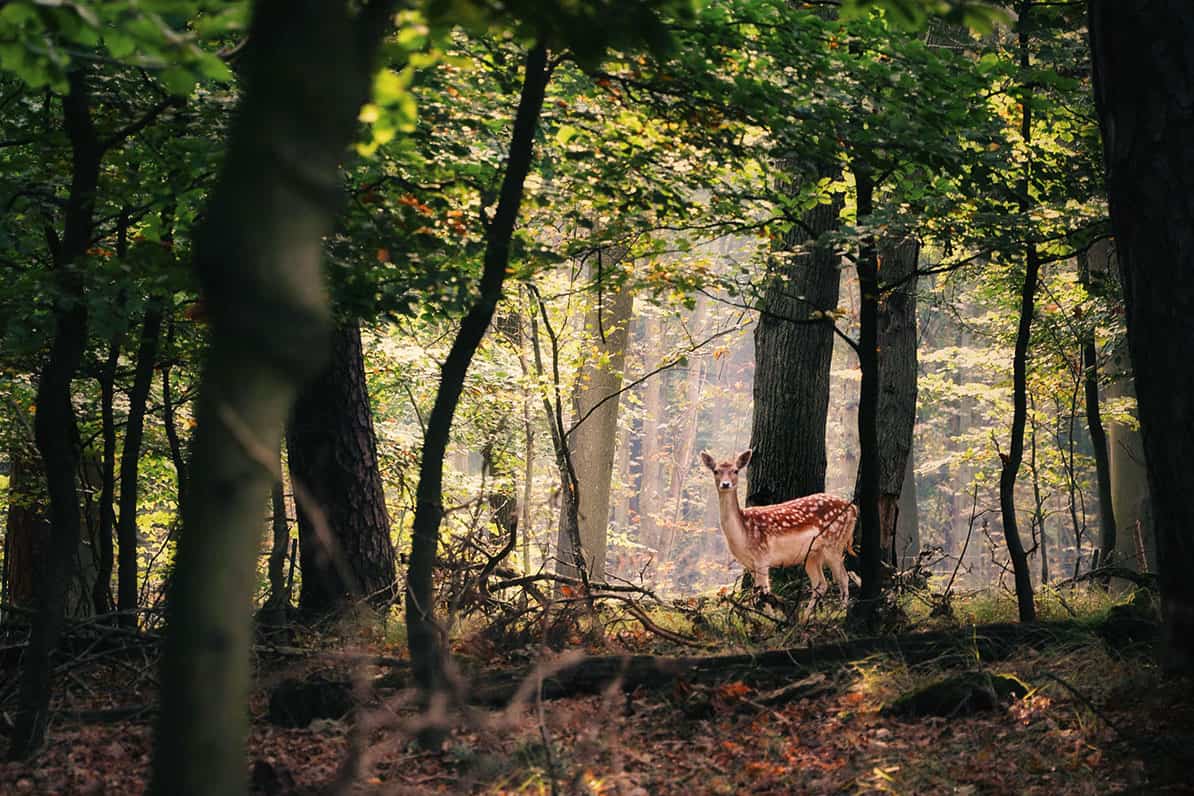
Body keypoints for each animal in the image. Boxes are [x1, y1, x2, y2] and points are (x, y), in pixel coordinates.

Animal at [697, 451, 859, 620]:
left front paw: (770, 620)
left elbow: (763, 591)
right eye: (716, 471)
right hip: (812, 554)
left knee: (843, 577)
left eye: (735, 470)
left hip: (834, 543)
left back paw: (840, 612)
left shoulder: (762, 556)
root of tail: (853, 509)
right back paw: (804, 619)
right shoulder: (750, 563)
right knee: (821, 584)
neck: (743, 535)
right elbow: (758, 593)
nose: (725, 484)